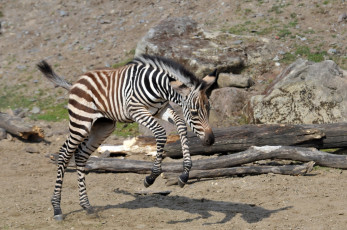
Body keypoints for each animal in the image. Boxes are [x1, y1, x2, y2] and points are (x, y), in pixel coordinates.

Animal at [38, 54, 218, 221]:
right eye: (194, 113)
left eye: (209, 108)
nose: (210, 140)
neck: (158, 87)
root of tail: (76, 82)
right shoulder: (136, 110)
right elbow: (160, 133)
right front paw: (151, 177)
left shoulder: (161, 109)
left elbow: (181, 125)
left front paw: (185, 174)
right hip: (81, 123)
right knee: (64, 154)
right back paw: (57, 208)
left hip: (103, 126)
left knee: (80, 155)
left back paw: (87, 206)